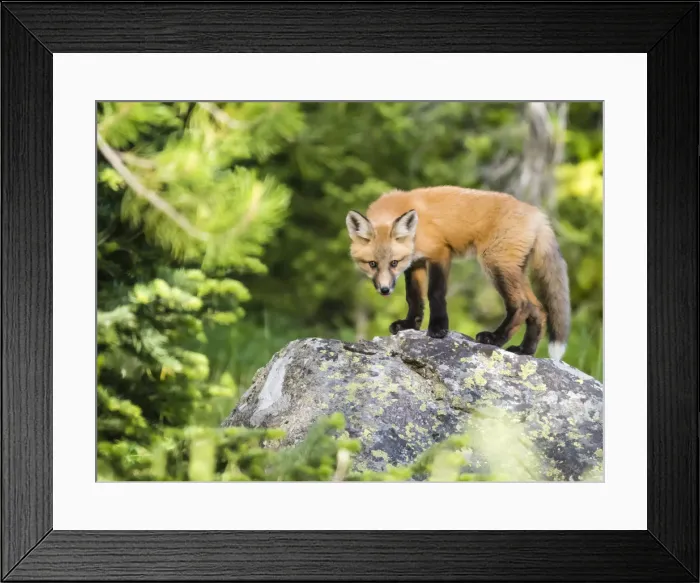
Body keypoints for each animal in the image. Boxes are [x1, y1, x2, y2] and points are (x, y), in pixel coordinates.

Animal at [345, 185, 571, 360]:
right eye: (372, 264)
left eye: (393, 263)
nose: (384, 290)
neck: (417, 230)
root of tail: (538, 214)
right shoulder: (415, 262)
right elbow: (414, 298)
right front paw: (410, 324)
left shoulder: (440, 253)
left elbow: (435, 294)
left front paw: (438, 328)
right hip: (515, 270)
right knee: (538, 309)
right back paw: (526, 350)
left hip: (495, 265)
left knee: (522, 305)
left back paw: (496, 338)